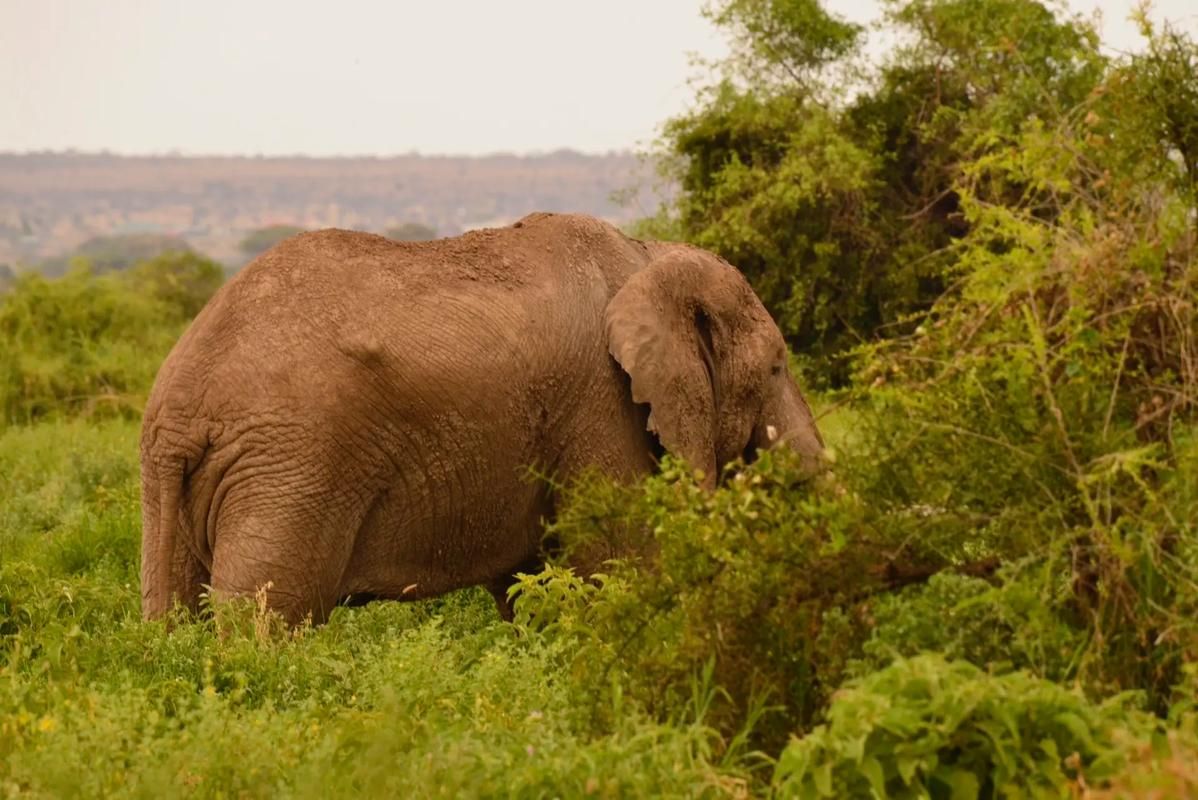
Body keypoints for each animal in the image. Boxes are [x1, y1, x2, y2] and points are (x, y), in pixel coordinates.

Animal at [140, 211, 824, 622]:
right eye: (775, 368)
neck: (648, 256)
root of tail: (181, 406)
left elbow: (532, 587)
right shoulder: (603, 407)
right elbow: (619, 563)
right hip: (292, 469)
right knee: (268, 620)